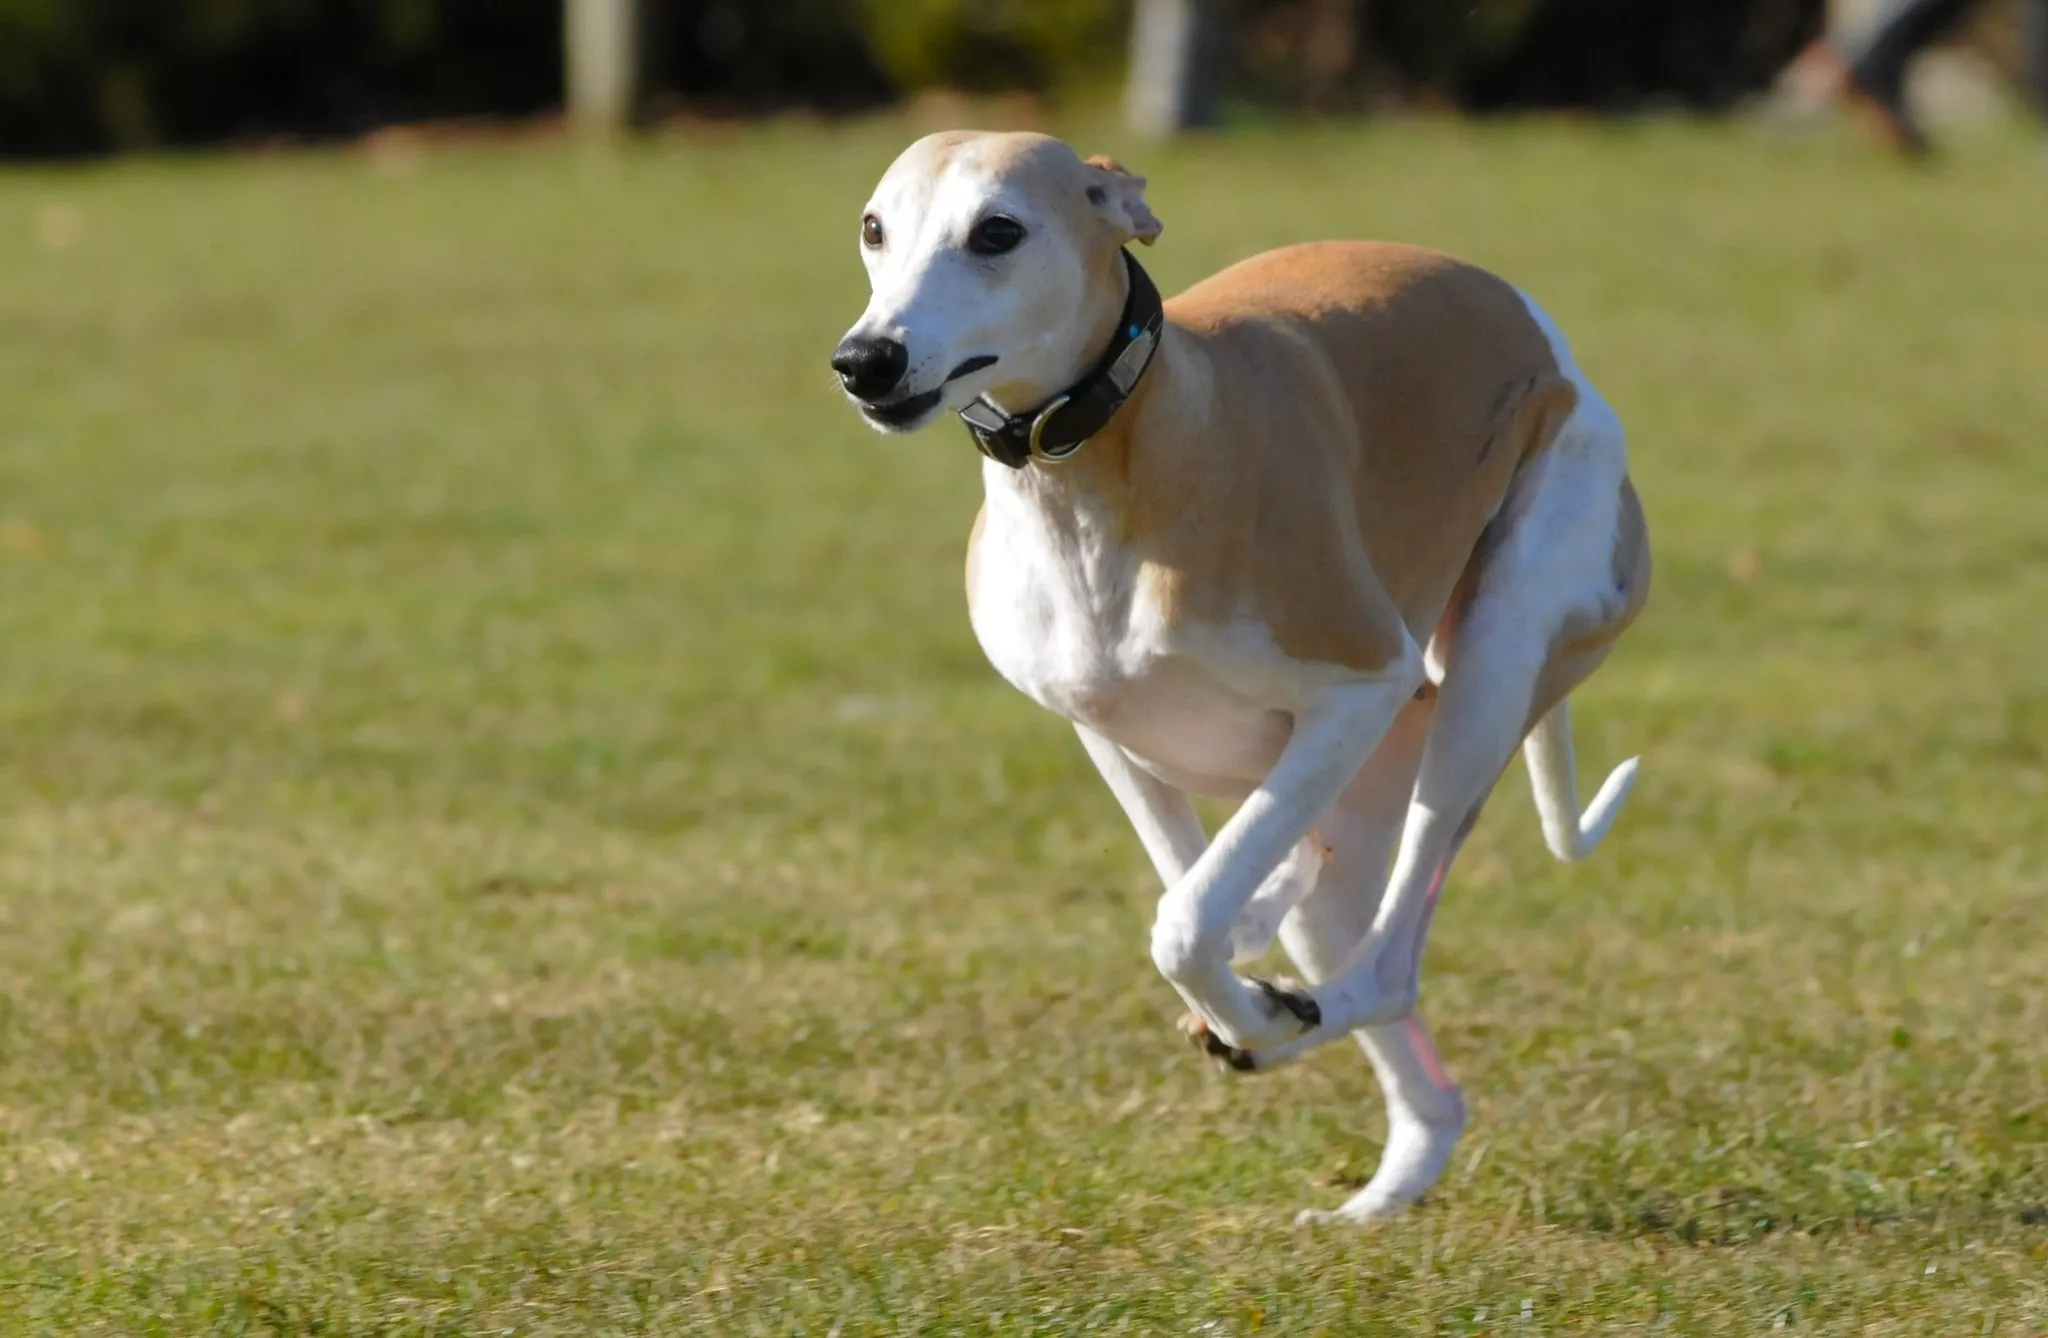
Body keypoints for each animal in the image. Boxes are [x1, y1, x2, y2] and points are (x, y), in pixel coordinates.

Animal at [831, 133, 1646, 1221]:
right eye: (874, 227)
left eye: (997, 231)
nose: (864, 360)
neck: (1103, 461)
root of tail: (1549, 344)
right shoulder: (1104, 728)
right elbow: (1194, 881)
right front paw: (1244, 984)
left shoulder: (1359, 683)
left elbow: (1181, 924)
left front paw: (1251, 1017)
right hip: (1360, 789)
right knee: (1373, 992)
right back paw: (1377, 1182)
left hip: (1487, 661)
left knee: (1388, 966)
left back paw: (1298, 1013)